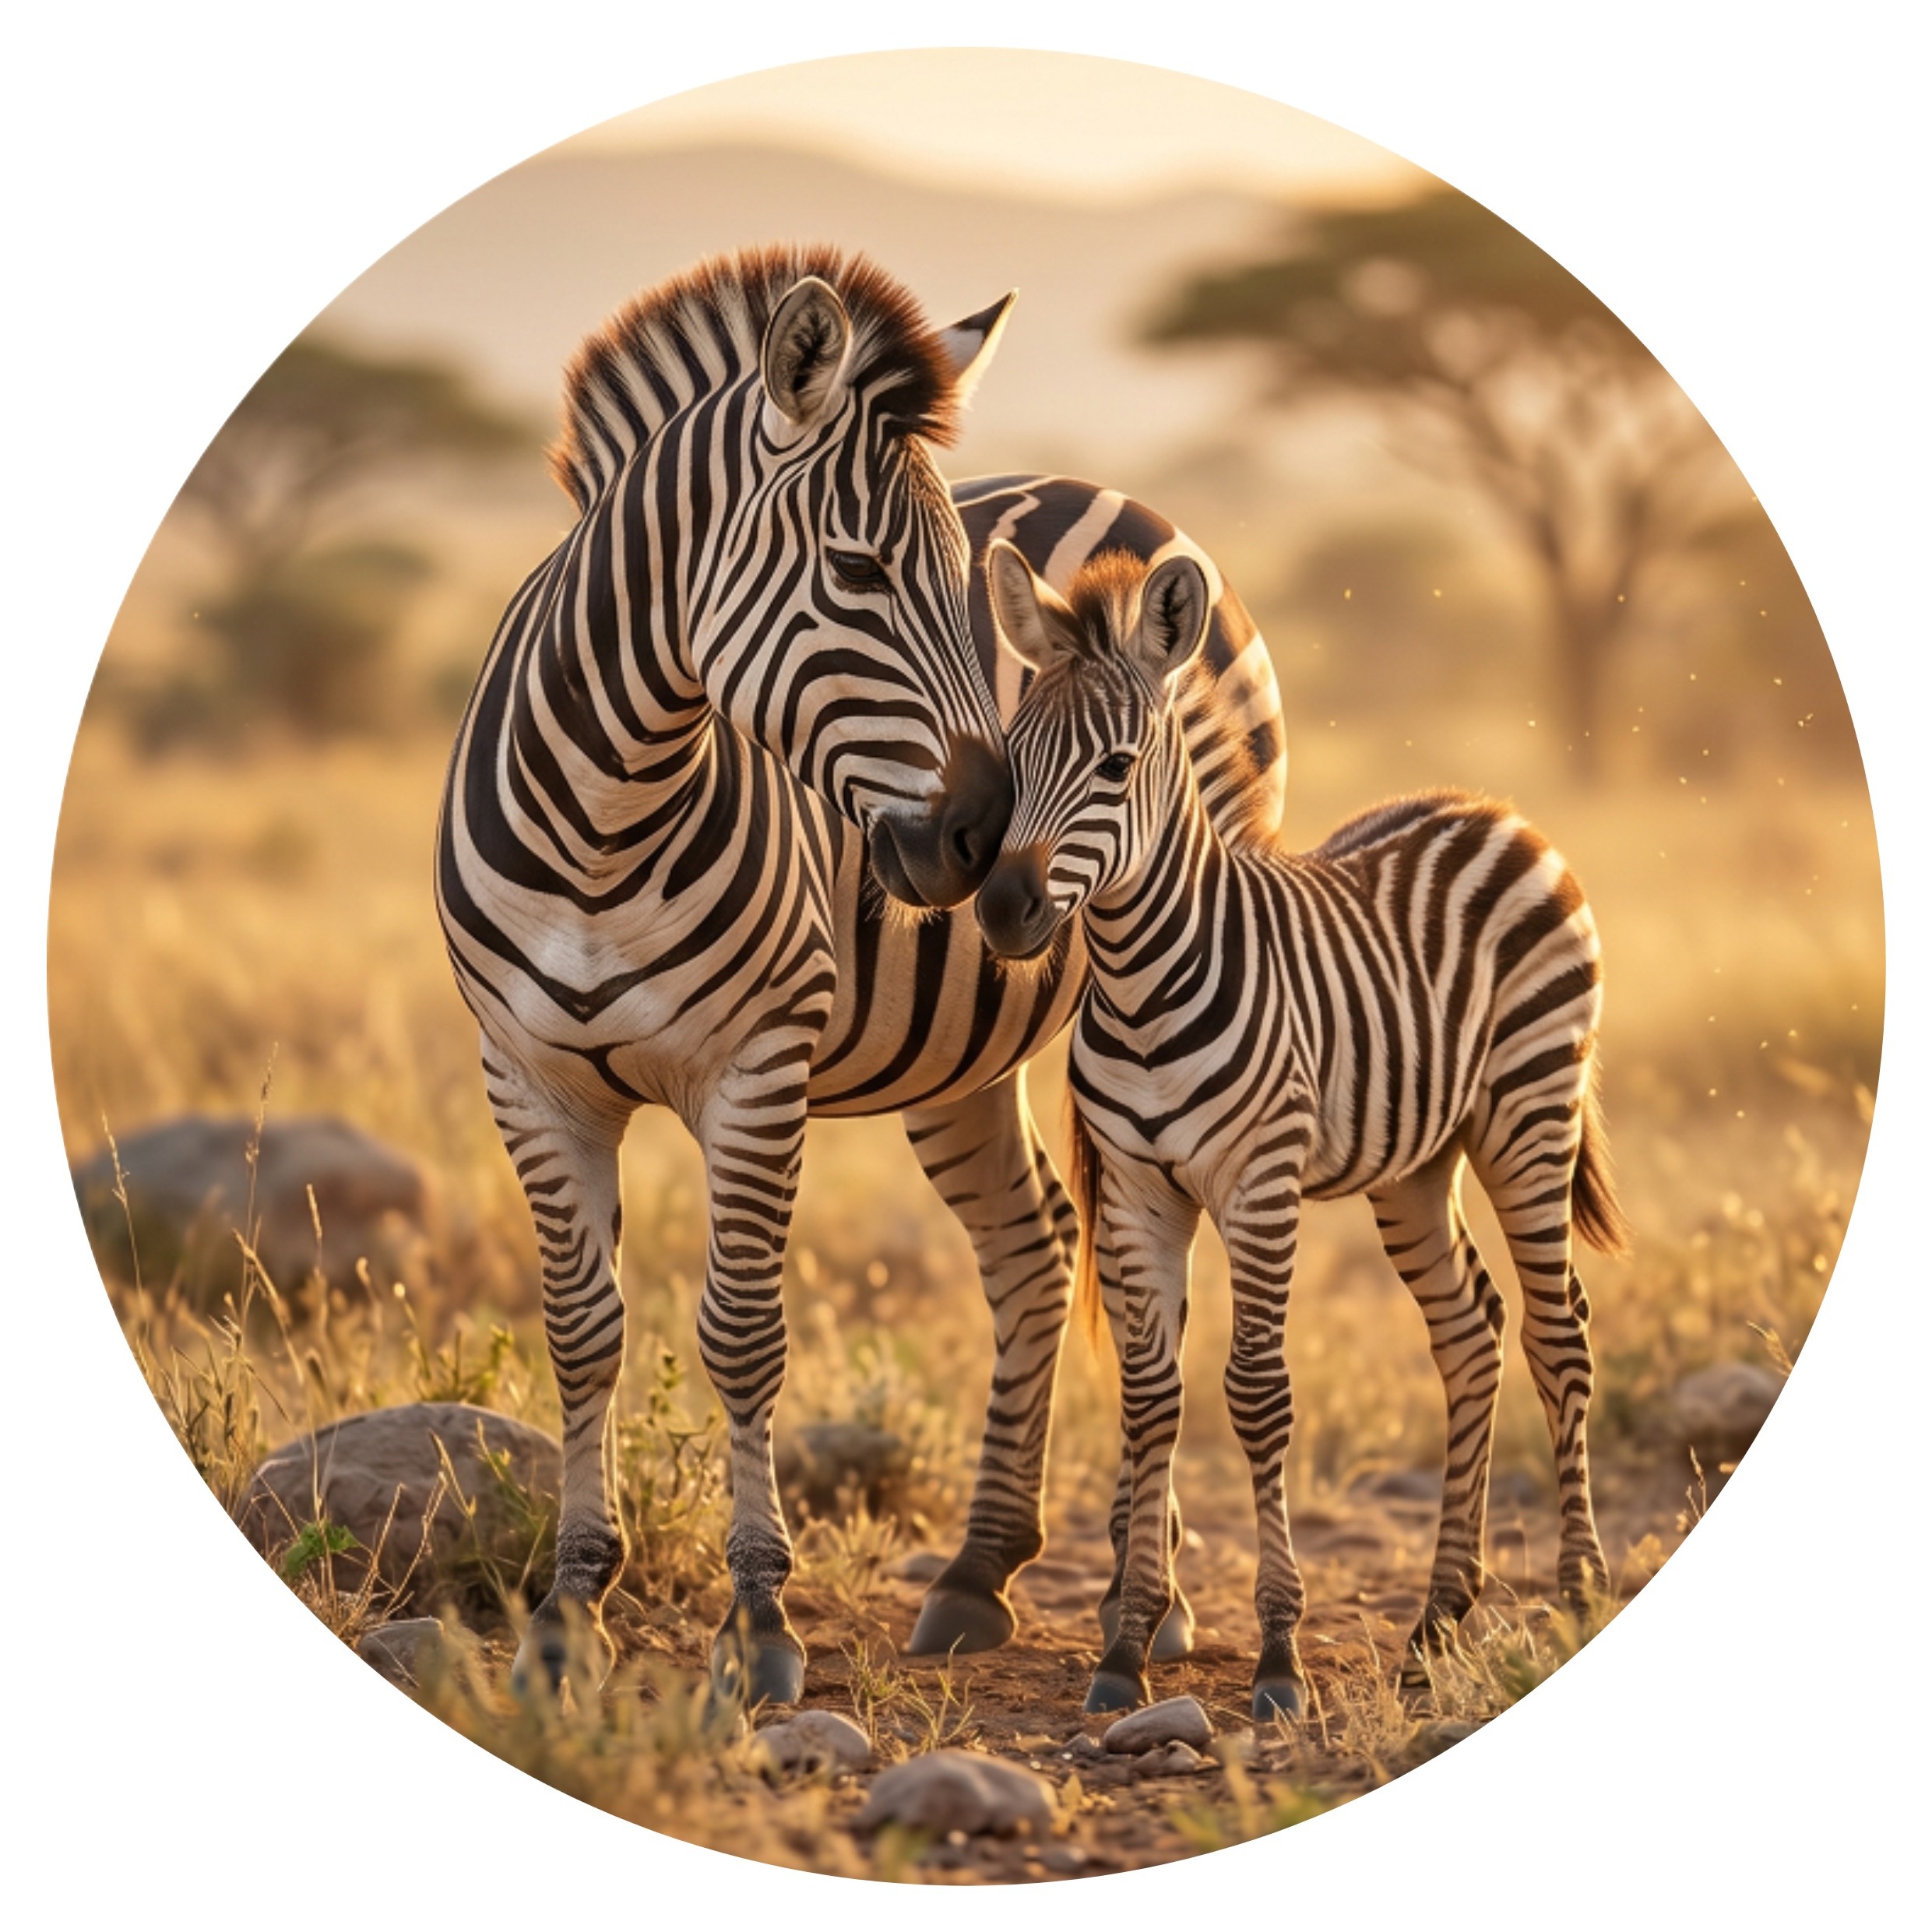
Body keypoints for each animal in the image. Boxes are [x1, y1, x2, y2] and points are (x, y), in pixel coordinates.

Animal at [434, 244, 1289, 1703]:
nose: (986, 844)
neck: (606, 815)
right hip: (960, 1051)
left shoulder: (756, 1071)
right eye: (855, 570)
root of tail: (1110, 493)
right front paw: (567, 1610)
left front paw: (759, 1625)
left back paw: (1154, 1600)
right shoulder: (528, 1077)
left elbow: (741, 1331)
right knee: (1035, 1245)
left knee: (1144, 1286)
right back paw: (980, 1569)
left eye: (960, 586)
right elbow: (581, 1329)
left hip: (1164, 967)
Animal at [975, 542, 1630, 1721]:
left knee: (1560, 1334)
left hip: (1529, 1110)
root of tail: (1492, 808)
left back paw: (1575, 1594)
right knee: (1470, 1330)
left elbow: (1257, 1395)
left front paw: (1278, 1653)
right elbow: (1153, 1400)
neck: (1139, 985)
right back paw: (1435, 1622)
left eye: (1117, 766)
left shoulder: (1258, 1185)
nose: (1003, 913)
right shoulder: (1138, 1190)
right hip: (1414, 1163)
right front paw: (1126, 1645)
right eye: (1012, 759)